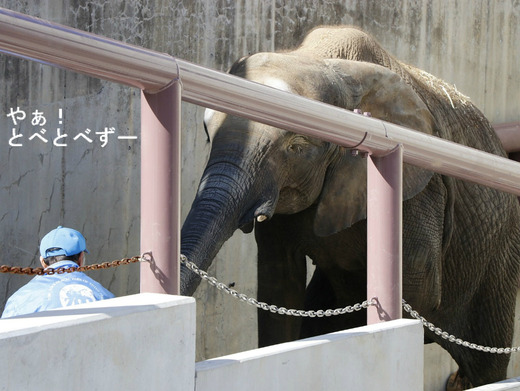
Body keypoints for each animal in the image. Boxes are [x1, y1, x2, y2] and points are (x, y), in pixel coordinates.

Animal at [181, 26, 520, 390]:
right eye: (207, 134)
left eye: (297, 145)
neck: (323, 63)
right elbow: (279, 282)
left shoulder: (418, 188)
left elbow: (419, 284)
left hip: (499, 259)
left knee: (487, 364)